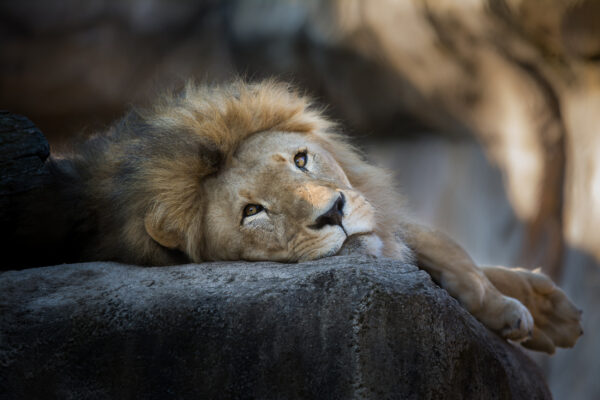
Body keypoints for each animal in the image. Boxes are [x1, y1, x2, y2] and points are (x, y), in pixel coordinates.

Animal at [38, 78, 580, 354]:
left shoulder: (377, 206)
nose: (333, 212)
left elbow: (456, 257)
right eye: (253, 211)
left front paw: (537, 310)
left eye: (301, 160)